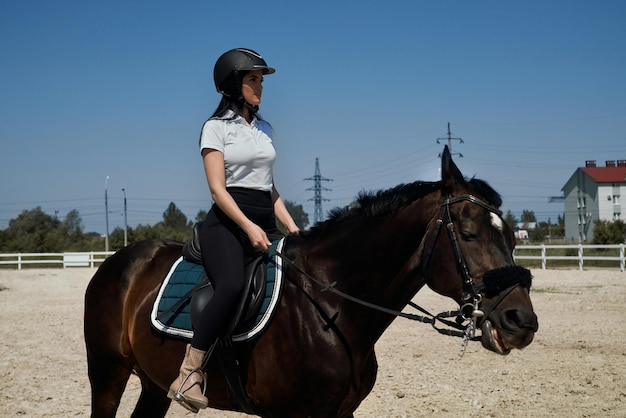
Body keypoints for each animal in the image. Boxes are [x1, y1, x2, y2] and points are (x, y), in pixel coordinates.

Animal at [84, 146, 536, 414]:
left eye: (514, 238)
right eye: (468, 233)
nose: (522, 322)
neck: (330, 305)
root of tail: (118, 261)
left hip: (152, 382)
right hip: (108, 374)